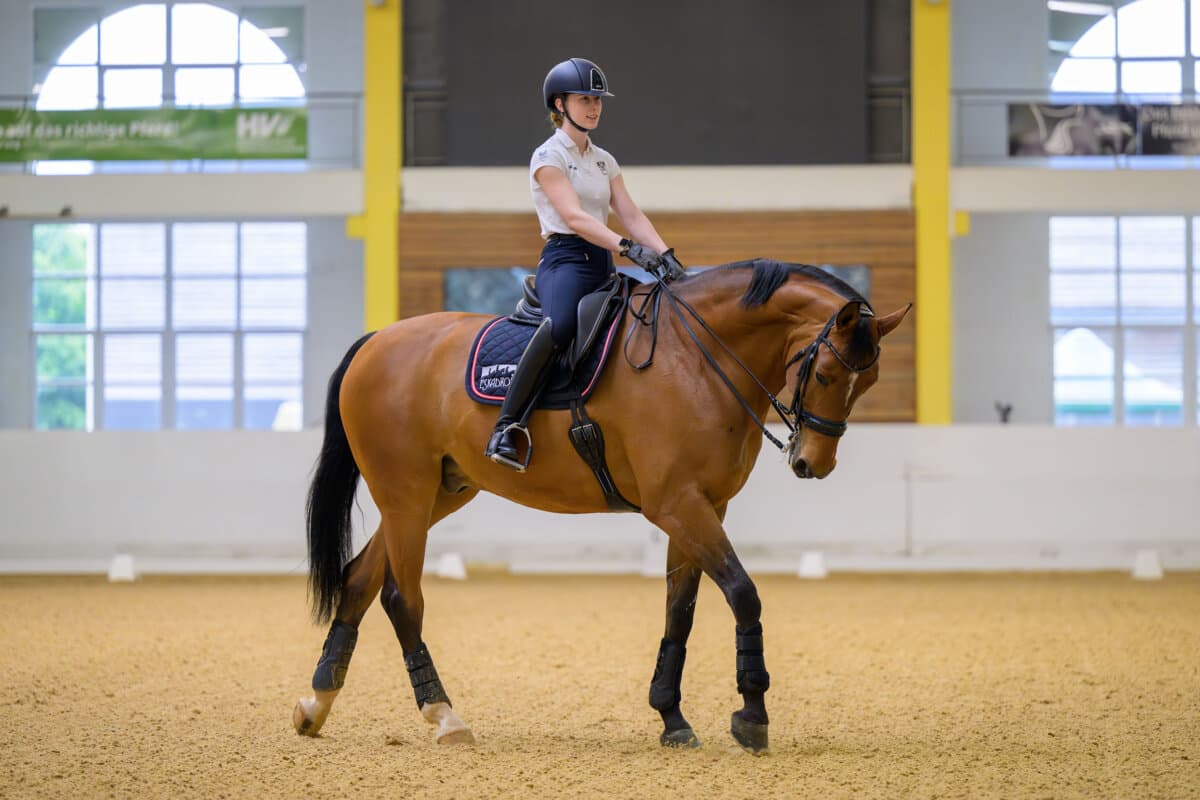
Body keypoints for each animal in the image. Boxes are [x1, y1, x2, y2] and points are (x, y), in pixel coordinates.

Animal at [292, 260, 907, 753]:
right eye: (824, 372)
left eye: (869, 380)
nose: (812, 464)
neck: (698, 360)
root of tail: (377, 340)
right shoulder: (678, 504)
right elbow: (742, 593)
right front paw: (752, 716)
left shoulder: (703, 506)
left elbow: (679, 611)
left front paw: (671, 717)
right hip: (406, 492)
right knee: (402, 598)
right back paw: (444, 716)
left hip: (437, 494)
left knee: (358, 579)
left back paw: (317, 704)